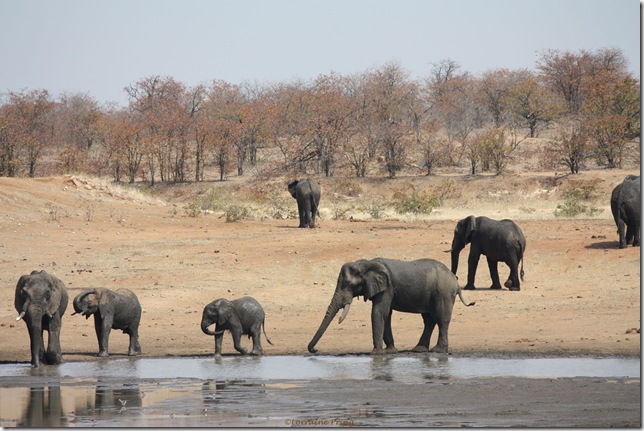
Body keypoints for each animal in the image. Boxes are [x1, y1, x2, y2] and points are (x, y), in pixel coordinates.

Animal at [307, 258, 475, 355]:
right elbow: (385, 314)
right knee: (429, 320)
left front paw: (376, 353)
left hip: (443, 293)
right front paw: (390, 351)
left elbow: (378, 312)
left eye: (348, 284)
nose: (314, 350)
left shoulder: (387, 287)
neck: (365, 263)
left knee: (441, 319)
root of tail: (455, 280)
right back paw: (419, 350)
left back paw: (438, 351)